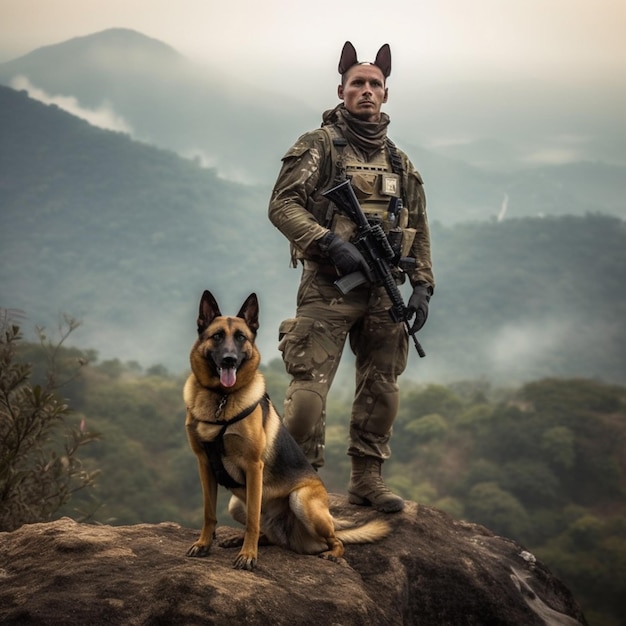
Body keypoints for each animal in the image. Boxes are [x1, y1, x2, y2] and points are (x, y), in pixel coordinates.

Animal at [183, 290, 388, 568]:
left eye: (241, 337)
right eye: (216, 336)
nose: (229, 360)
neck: (220, 400)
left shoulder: (253, 466)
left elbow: (253, 519)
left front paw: (248, 556)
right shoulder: (204, 464)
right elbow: (209, 513)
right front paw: (204, 544)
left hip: (301, 500)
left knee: (336, 541)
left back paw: (331, 554)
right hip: (236, 503)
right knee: (266, 533)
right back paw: (240, 539)